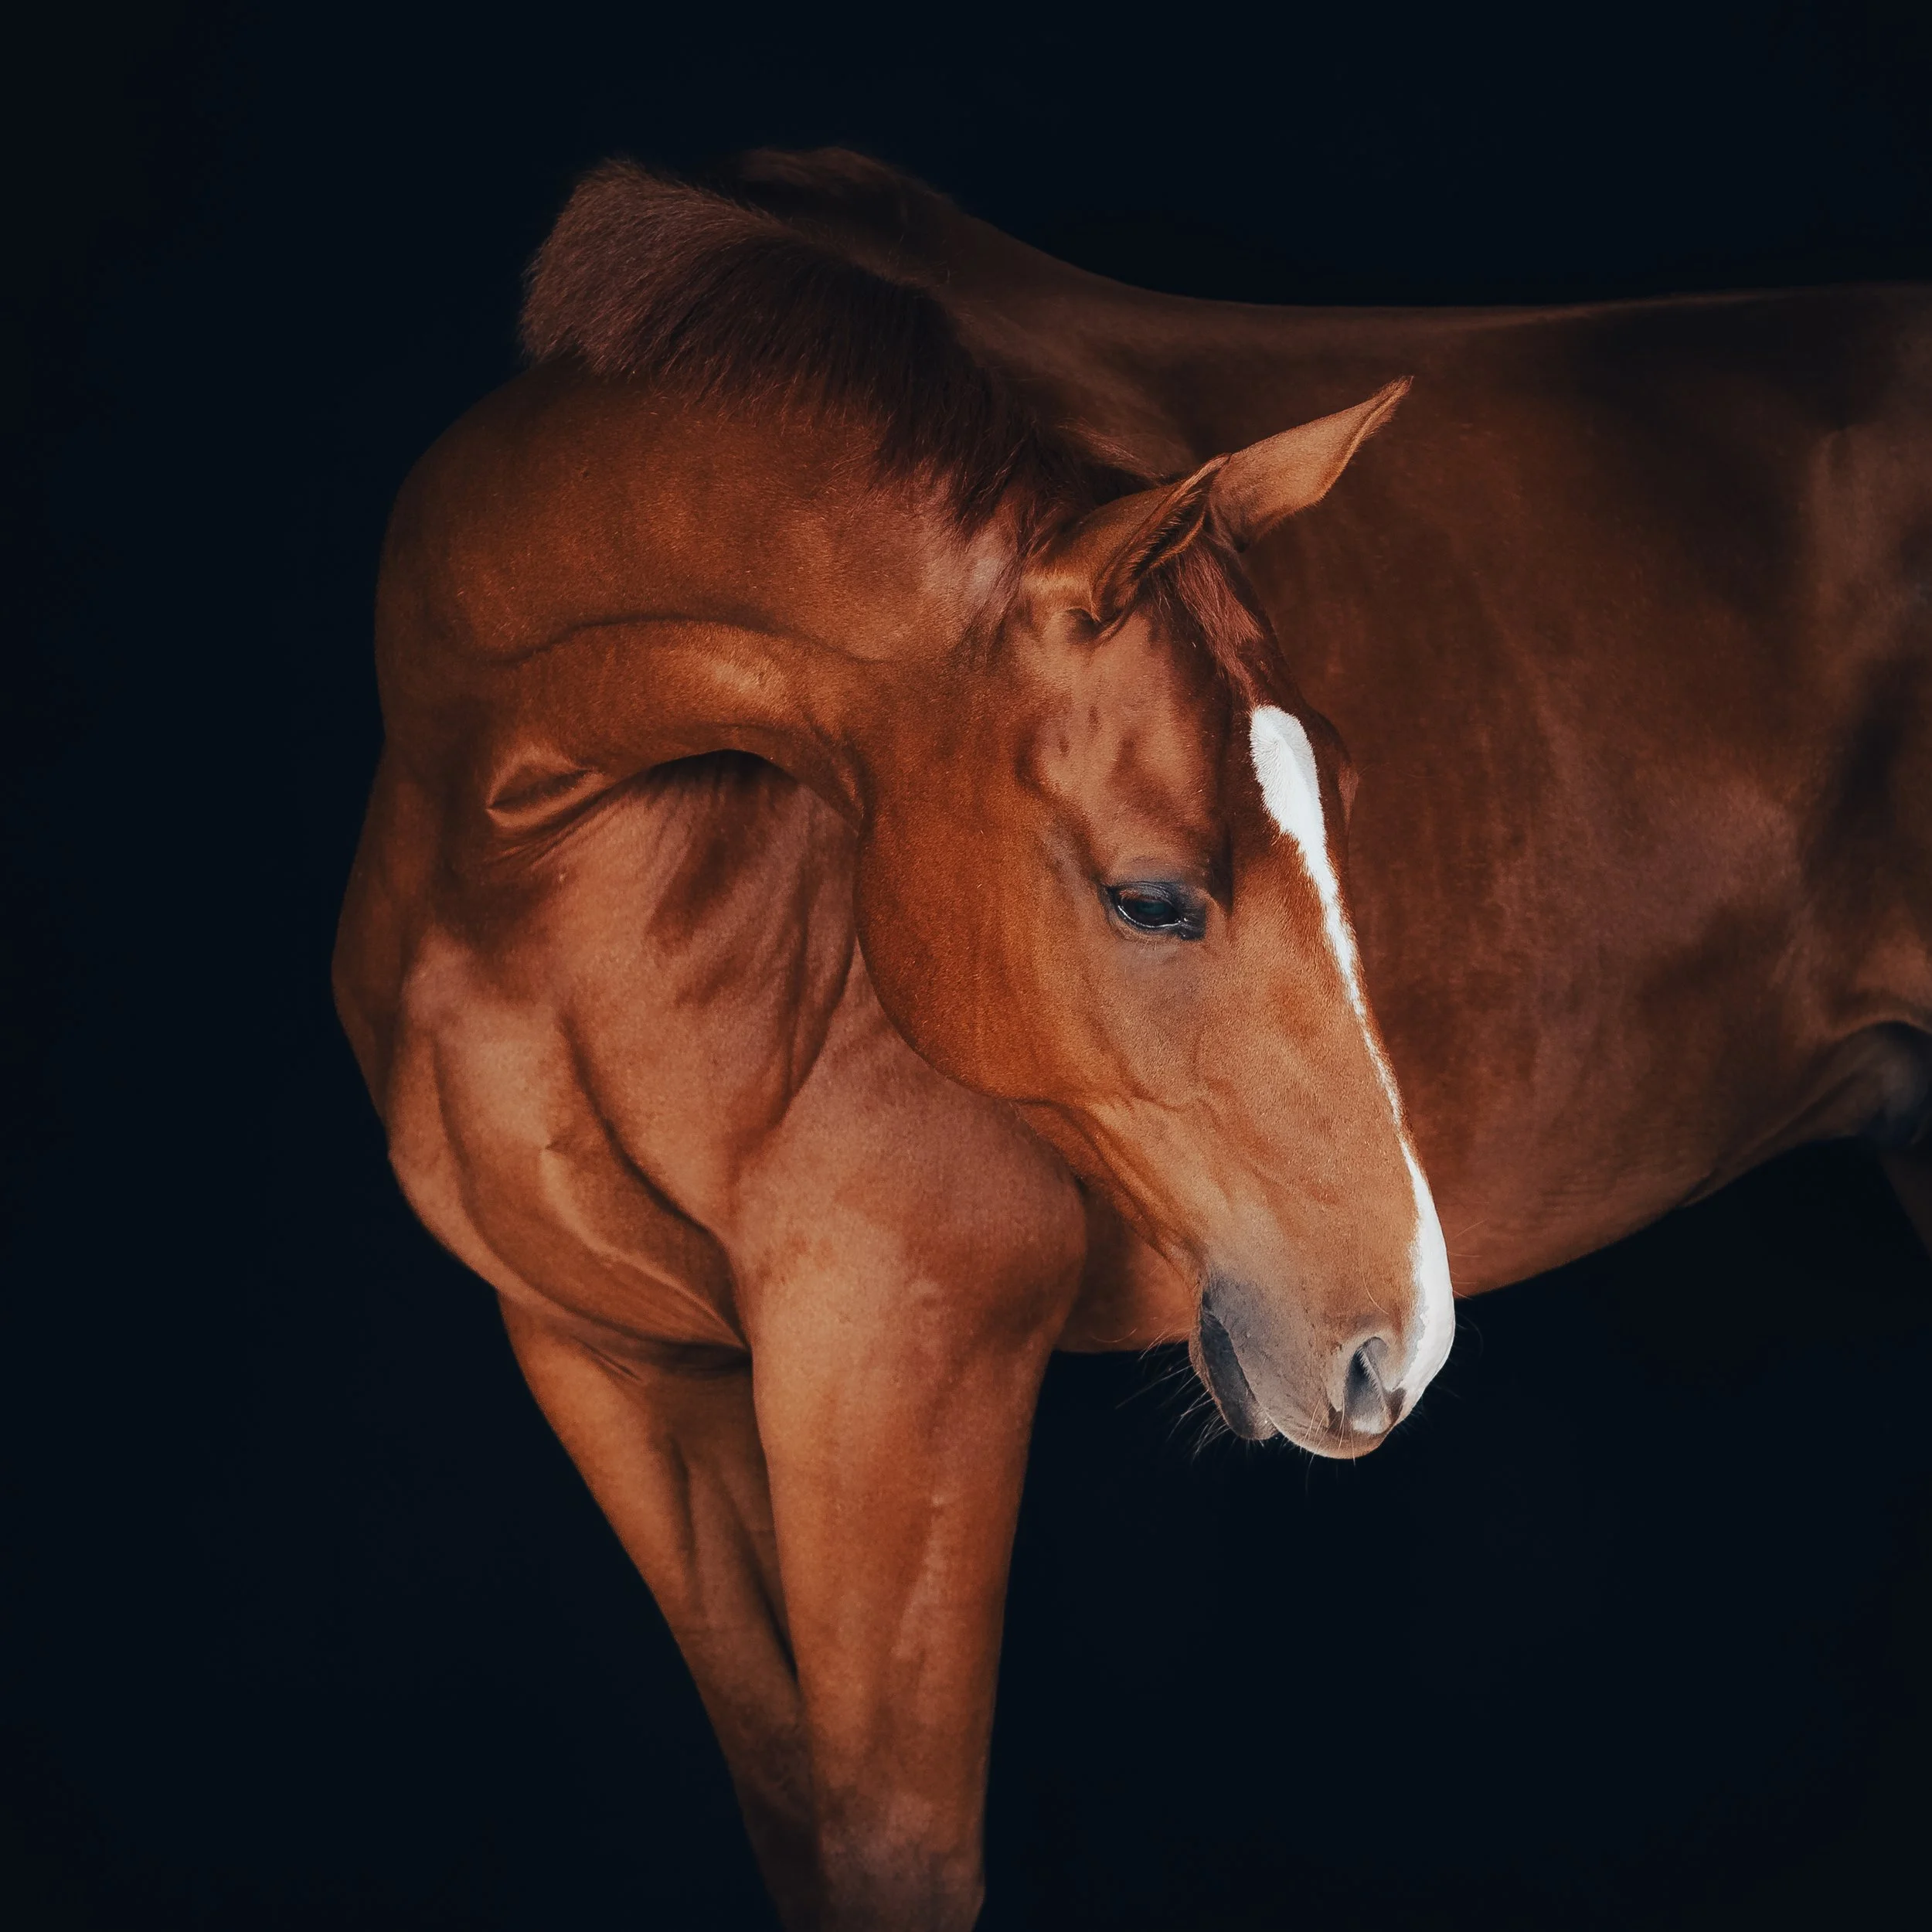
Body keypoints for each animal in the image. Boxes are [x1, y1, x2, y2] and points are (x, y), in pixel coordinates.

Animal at [334, 155, 1932, 1930]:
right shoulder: (615, 1366)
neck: (528, 850)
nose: (1394, 1344)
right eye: (1153, 898)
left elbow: (896, 1854)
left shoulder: (902, 1351)